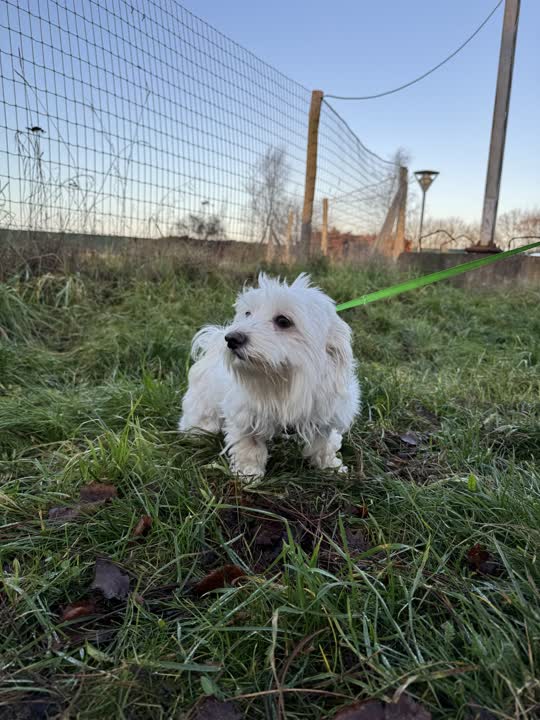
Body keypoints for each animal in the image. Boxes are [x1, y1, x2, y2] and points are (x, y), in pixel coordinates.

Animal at [179, 273, 360, 480]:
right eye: (248, 314)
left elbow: (324, 445)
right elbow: (249, 448)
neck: (284, 379)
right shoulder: (245, 417)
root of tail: (213, 340)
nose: (232, 338)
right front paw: (248, 474)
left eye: (283, 321)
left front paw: (330, 467)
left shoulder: (325, 414)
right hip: (203, 406)